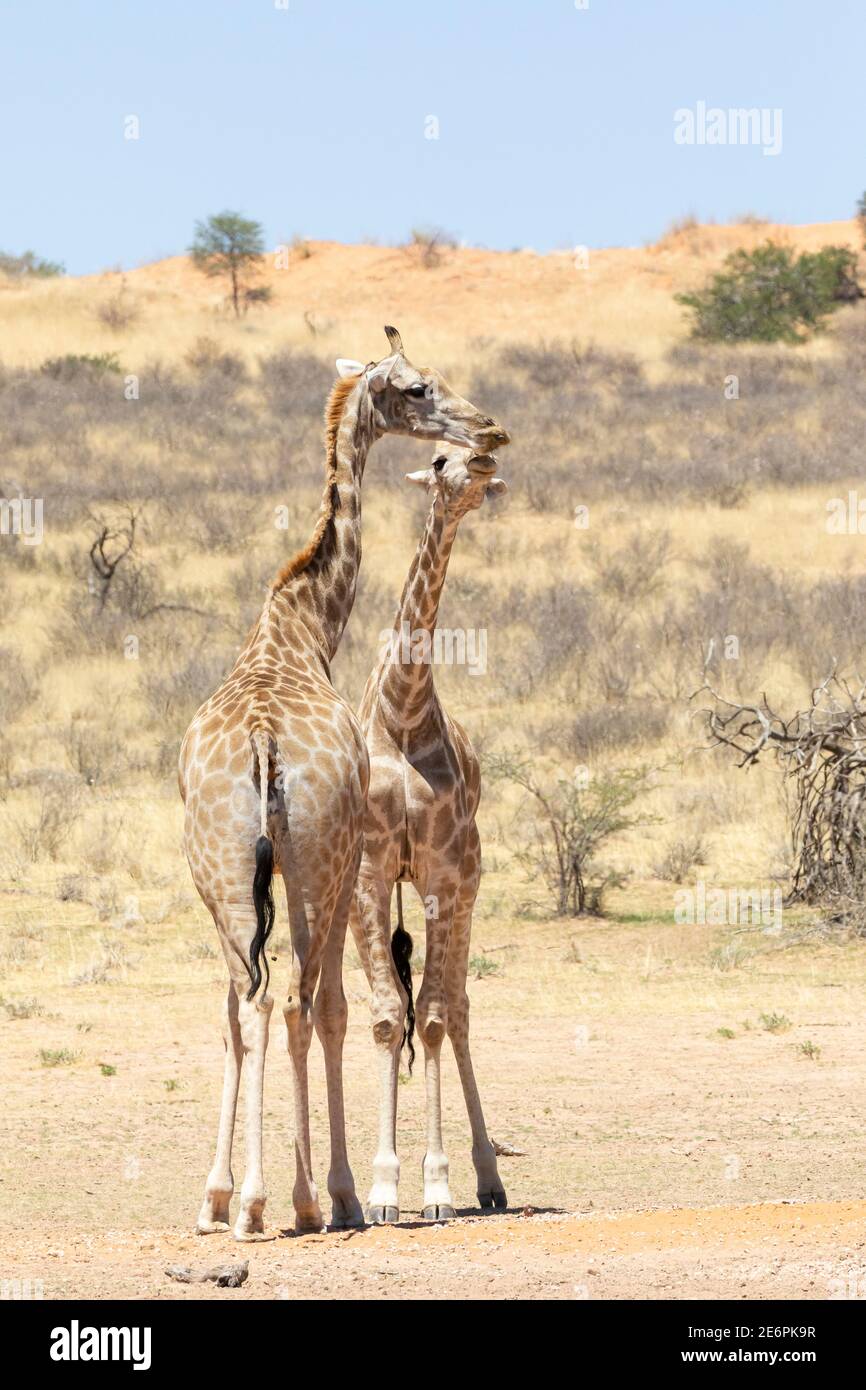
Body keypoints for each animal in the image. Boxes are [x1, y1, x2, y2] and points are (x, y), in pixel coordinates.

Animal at [179, 328, 511, 1239]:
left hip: (225, 875)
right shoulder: (340, 869)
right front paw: (339, 1190)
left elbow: (252, 1012)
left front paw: (227, 1194)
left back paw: (240, 1201)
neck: (300, 624)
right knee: (292, 1001)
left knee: (250, 1000)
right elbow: (329, 1009)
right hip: (315, 872)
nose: (488, 427)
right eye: (417, 386)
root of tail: (262, 745)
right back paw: (282, 1198)